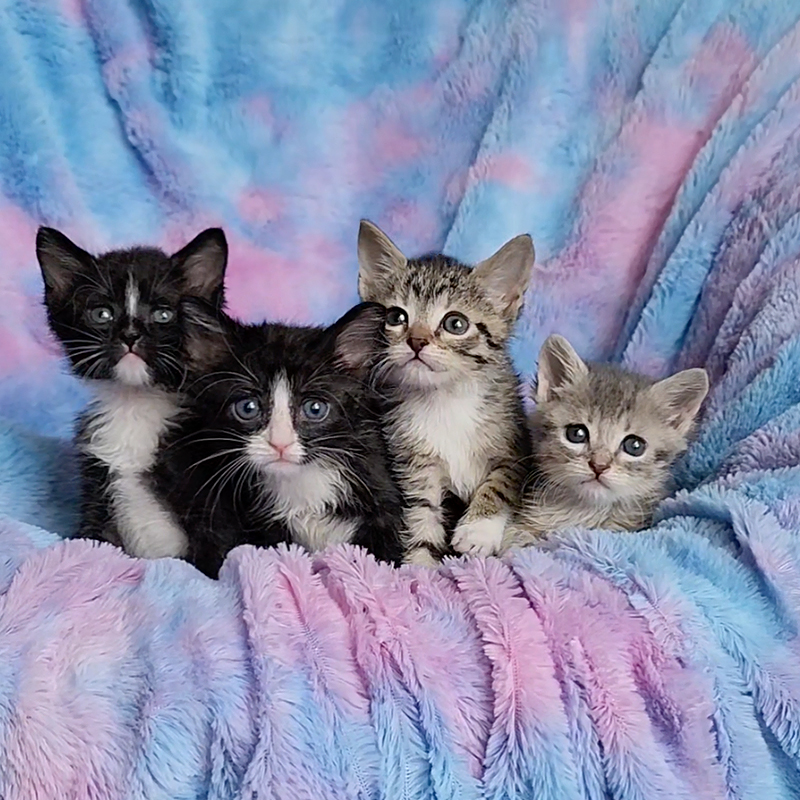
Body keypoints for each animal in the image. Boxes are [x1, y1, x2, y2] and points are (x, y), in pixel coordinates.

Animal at [39, 228, 230, 560]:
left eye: (163, 315)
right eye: (102, 314)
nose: (130, 335)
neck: (136, 403)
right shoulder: (98, 484)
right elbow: (90, 540)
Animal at [354, 219, 532, 564]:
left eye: (455, 324)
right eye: (396, 317)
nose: (417, 341)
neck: (445, 399)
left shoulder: (515, 444)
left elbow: (501, 481)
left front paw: (477, 530)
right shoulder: (414, 461)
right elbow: (421, 513)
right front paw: (419, 565)